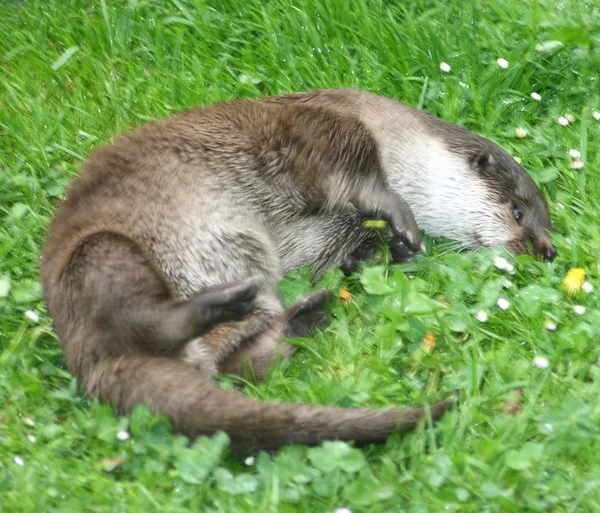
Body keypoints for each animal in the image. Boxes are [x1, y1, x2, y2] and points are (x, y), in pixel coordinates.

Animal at [42, 90, 556, 450]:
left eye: (544, 223)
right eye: (518, 213)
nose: (547, 251)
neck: (393, 142)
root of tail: (87, 358)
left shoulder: (331, 234)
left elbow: (344, 253)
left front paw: (388, 251)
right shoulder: (324, 129)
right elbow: (359, 179)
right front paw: (404, 225)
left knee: (232, 364)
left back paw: (305, 313)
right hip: (101, 252)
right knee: (139, 318)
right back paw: (225, 302)